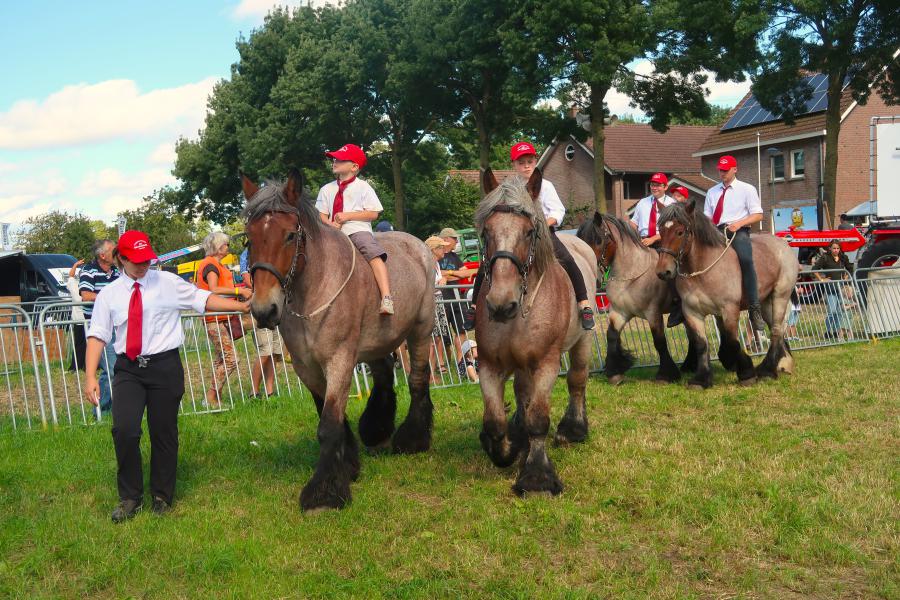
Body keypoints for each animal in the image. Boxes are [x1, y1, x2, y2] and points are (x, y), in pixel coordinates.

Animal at [241, 169, 434, 510]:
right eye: (249, 238)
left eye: (289, 235)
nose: (264, 310)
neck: (314, 289)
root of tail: (419, 246)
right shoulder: (307, 366)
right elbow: (331, 417)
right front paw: (348, 465)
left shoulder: (340, 360)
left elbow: (329, 426)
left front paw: (324, 492)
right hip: (378, 341)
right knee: (385, 376)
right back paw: (377, 429)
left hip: (420, 330)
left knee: (418, 379)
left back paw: (413, 438)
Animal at [478, 169, 596, 496]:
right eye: (485, 232)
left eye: (529, 232)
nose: (501, 304)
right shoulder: (489, 365)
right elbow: (495, 422)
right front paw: (510, 448)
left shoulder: (546, 363)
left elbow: (539, 419)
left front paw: (537, 477)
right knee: (522, 392)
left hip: (582, 341)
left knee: (577, 380)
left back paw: (574, 429)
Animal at [652, 202, 796, 390]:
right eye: (661, 231)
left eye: (680, 231)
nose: (664, 271)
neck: (702, 270)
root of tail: (784, 244)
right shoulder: (692, 312)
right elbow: (701, 345)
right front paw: (701, 379)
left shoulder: (729, 309)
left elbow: (733, 342)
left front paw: (746, 374)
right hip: (766, 301)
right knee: (776, 329)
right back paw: (782, 364)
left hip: (780, 296)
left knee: (777, 331)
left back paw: (767, 371)